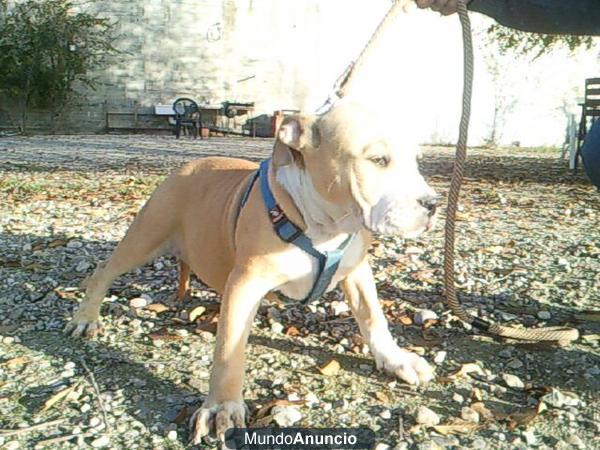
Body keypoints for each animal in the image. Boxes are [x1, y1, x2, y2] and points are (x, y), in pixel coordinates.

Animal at [65, 99, 438, 442]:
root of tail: (187, 165)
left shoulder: (357, 270)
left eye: (416, 160)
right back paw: (86, 317)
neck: (324, 226)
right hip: (146, 235)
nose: (433, 204)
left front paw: (395, 360)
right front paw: (221, 407)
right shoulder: (246, 283)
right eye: (378, 160)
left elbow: (374, 317)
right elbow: (229, 350)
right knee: (104, 270)